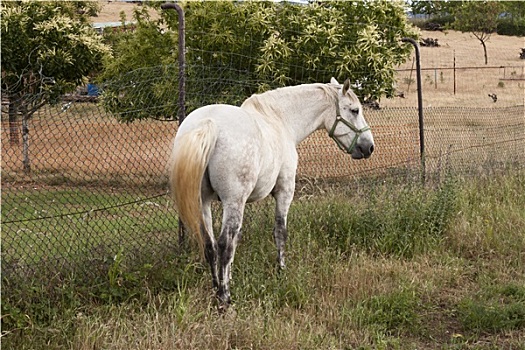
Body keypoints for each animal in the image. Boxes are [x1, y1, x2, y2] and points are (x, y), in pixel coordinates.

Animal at [168, 77, 372, 306]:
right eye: (354, 110)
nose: (369, 147)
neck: (280, 120)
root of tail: (207, 122)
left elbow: (237, 239)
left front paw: (229, 278)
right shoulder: (284, 191)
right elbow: (279, 232)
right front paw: (281, 271)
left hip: (203, 201)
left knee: (210, 245)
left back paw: (216, 289)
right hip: (232, 201)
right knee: (223, 245)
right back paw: (224, 298)